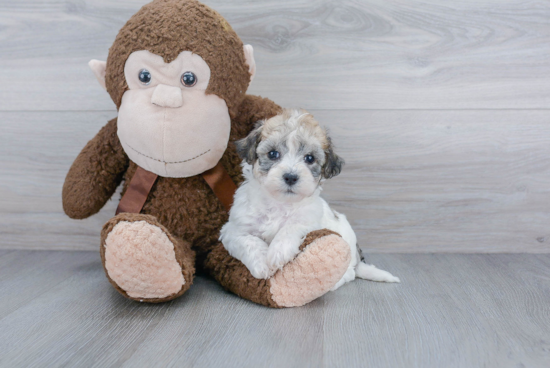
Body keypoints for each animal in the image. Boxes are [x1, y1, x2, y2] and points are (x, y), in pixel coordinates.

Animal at [221, 109, 402, 290]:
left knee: (348, 274)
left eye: (309, 158)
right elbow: (247, 241)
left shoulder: (310, 220)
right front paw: (261, 263)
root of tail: (358, 261)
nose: (291, 177)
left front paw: (278, 251)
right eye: (272, 154)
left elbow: (293, 226)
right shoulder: (233, 229)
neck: (279, 202)